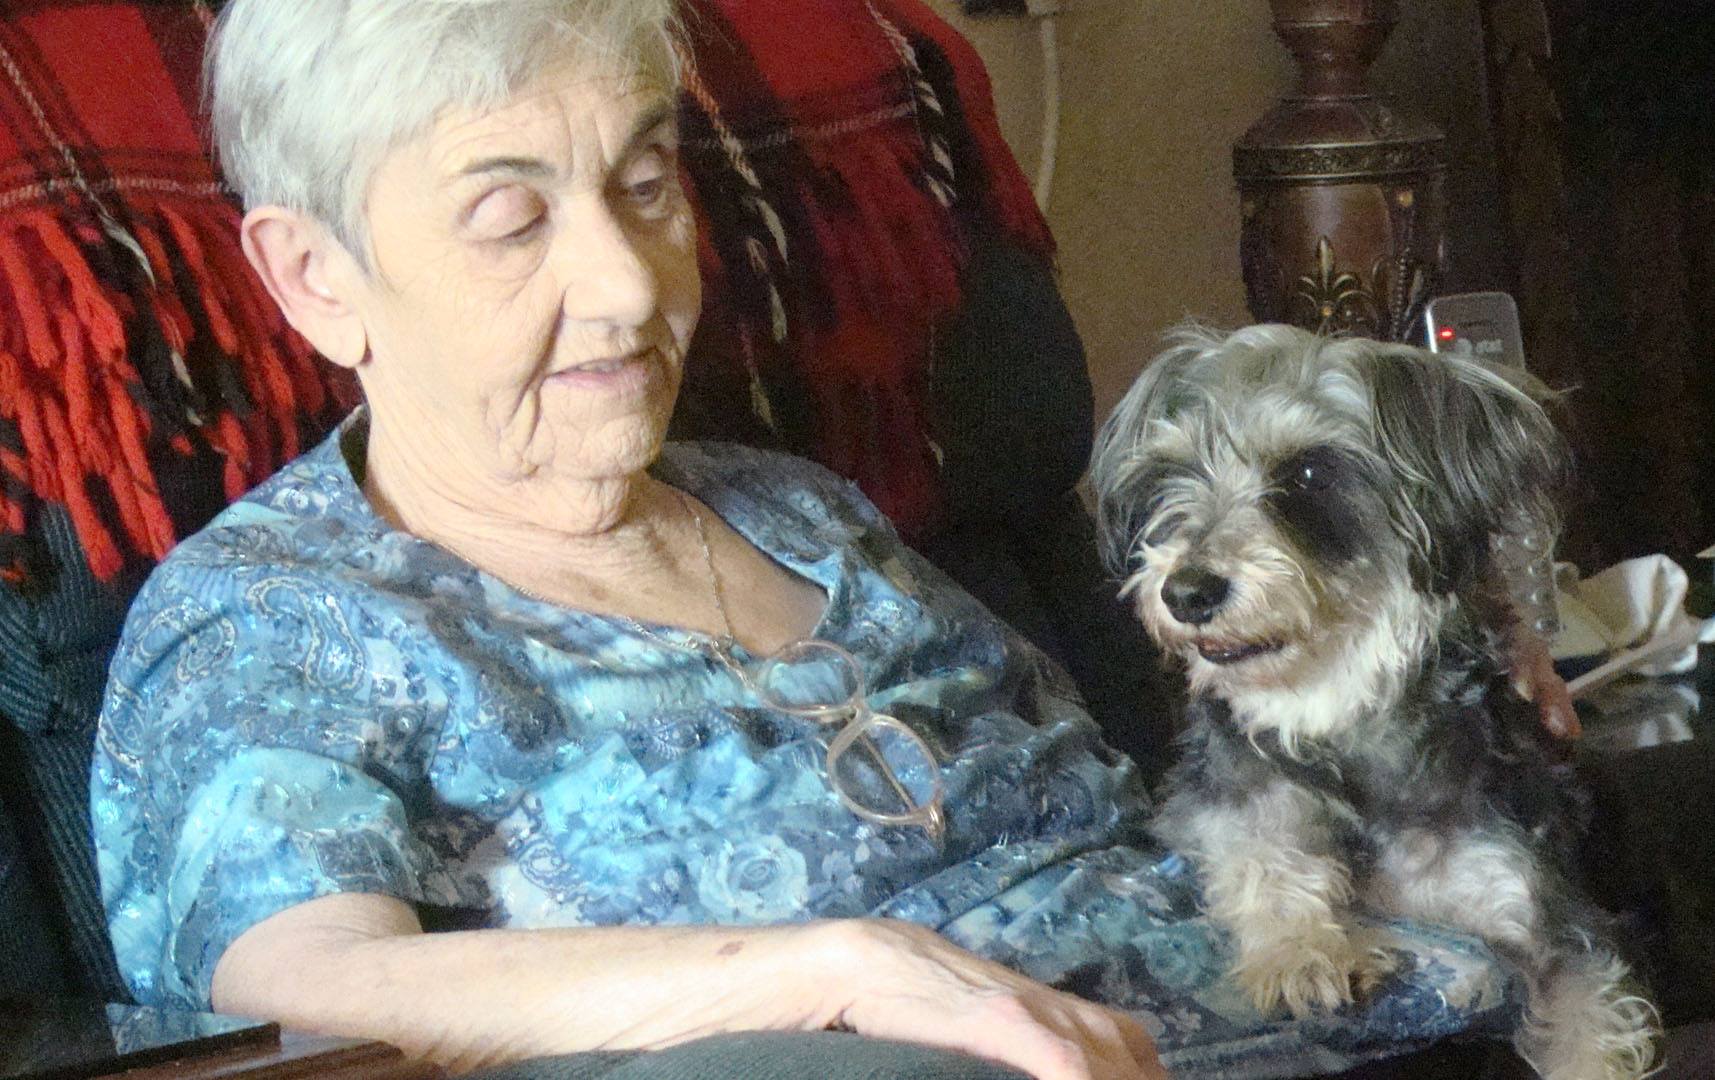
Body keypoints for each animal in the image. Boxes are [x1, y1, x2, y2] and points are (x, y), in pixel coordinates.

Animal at [1083, 325, 1660, 1076]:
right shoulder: (1220, 800)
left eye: (1306, 473)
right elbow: (1257, 849)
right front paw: (1302, 953)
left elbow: (1585, 1038)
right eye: (1170, 472)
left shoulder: (1549, 930)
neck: (1335, 715)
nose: (1185, 592)